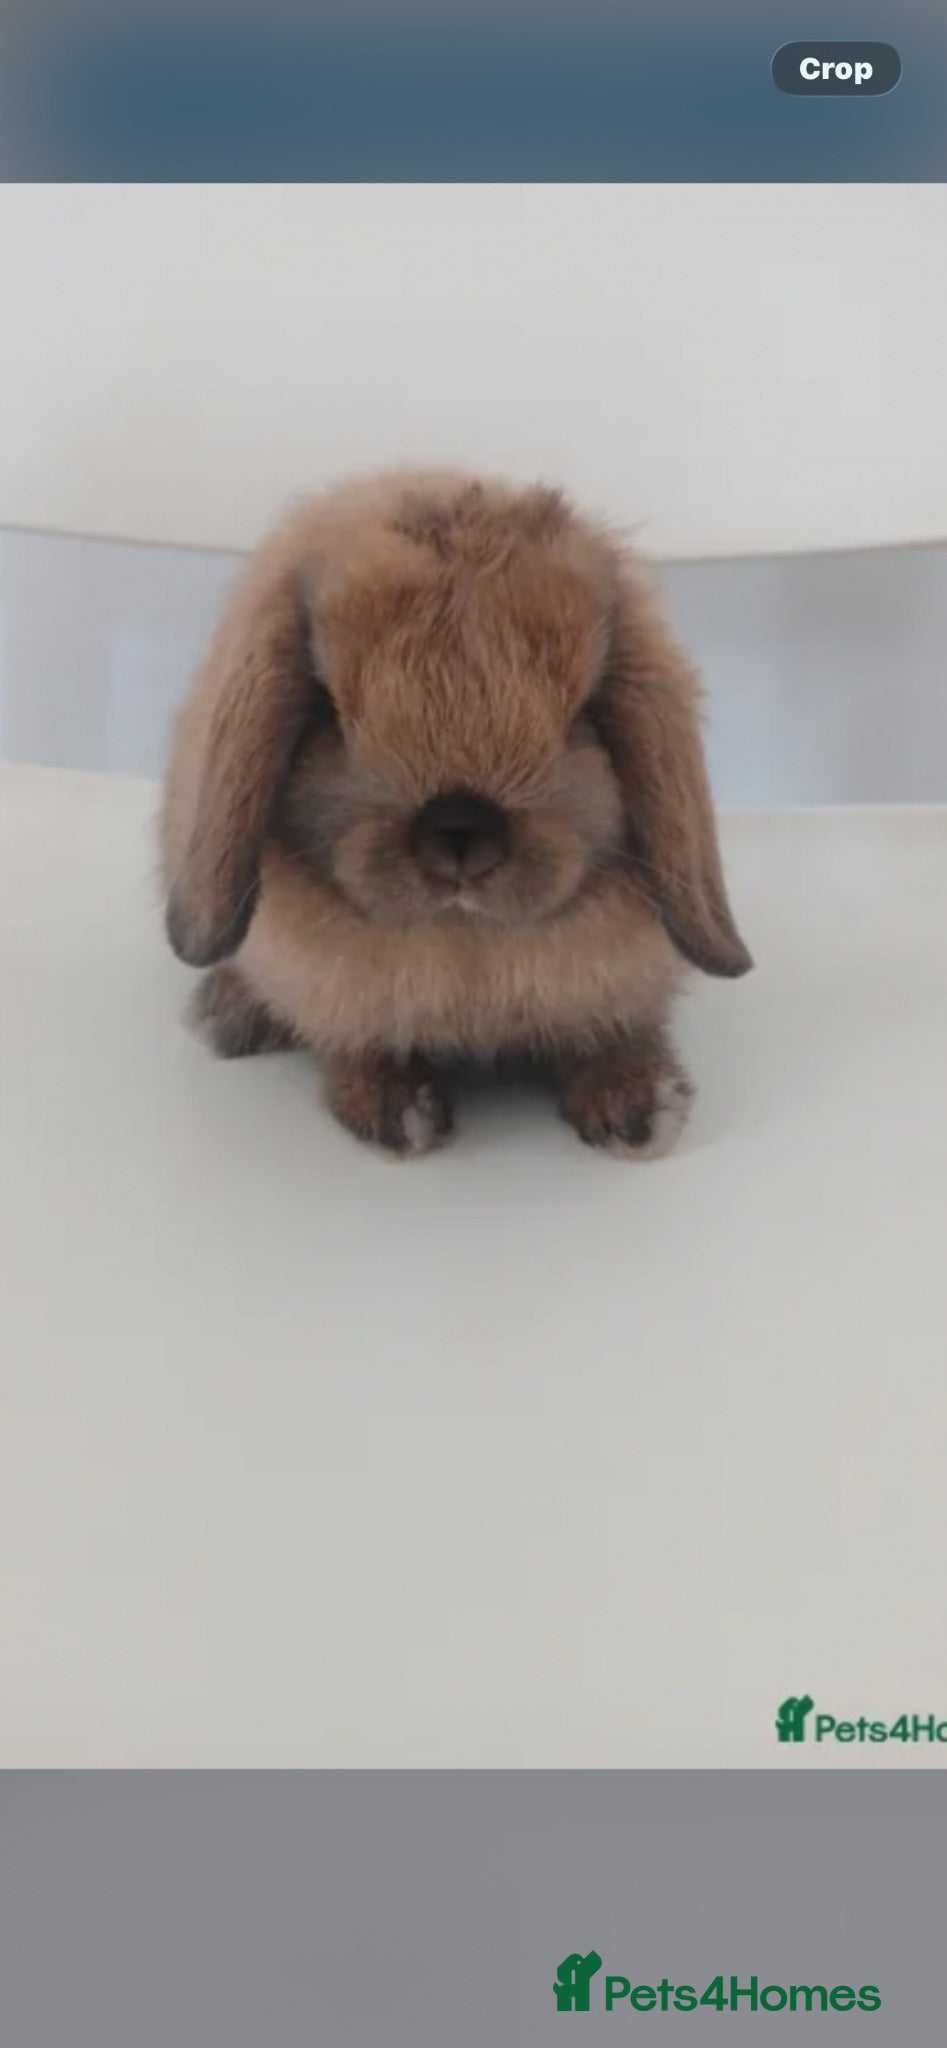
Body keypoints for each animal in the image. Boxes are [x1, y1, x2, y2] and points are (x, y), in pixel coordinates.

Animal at [161, 468, 751, 1157]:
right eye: (328, 709)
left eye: (582, 710)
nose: (460, 830)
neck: (467, 949)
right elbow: (357, 1046)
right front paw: (398, 1114)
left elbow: (614, 1032)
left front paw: (642, 1110)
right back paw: (226, 1016)